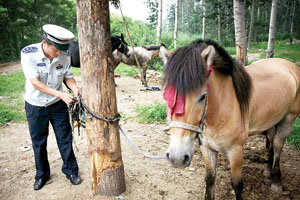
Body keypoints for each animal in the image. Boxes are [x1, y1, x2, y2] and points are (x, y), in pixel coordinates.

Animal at [163, 39, 300, 200]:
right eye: (167, 96)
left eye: (203, 96)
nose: (177, 158)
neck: (219, 113)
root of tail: (290, 65)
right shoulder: (207, 148)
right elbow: (210, 179)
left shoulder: (236, 151)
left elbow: (237, 185)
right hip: (272, 119)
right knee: (271, 140)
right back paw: (268, 170)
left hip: (288, 118)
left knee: (278, 144)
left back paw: (276, 180)